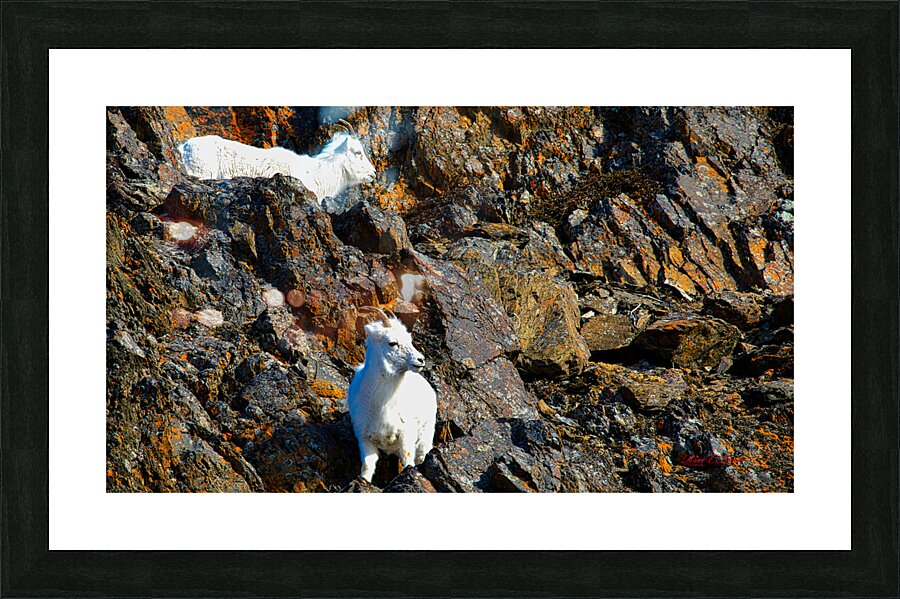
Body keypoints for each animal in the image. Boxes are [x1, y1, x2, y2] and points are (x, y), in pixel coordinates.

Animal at [347, 306, 437, 483]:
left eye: (409, 340)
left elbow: (408, 457)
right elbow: (367, 466)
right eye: (392, 343)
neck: (381, 404)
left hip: (425, 437)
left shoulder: (406, 434)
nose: (420, 360)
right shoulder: (365, 440)